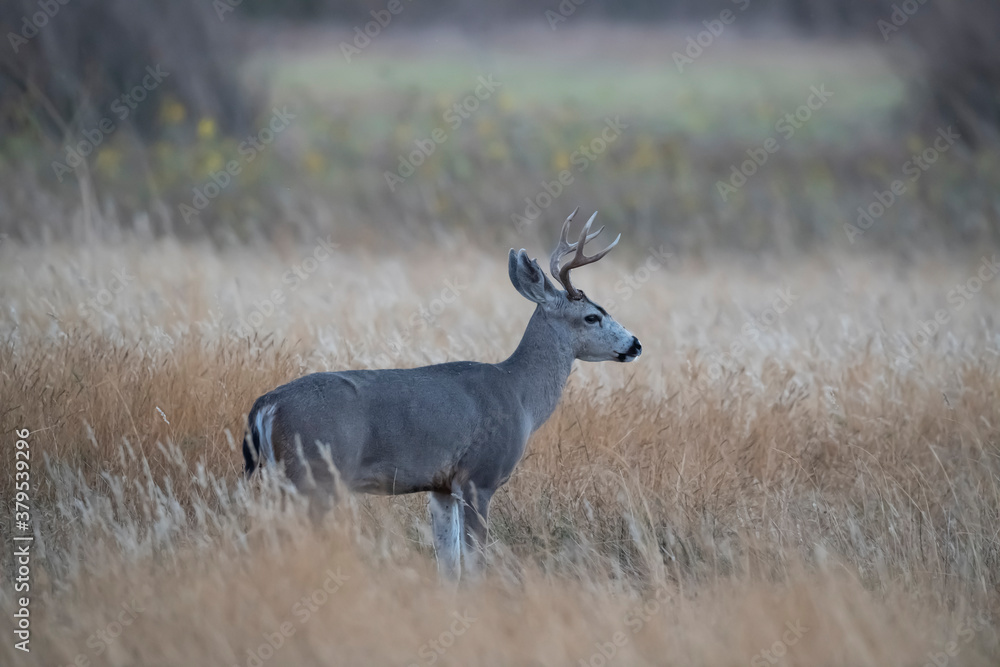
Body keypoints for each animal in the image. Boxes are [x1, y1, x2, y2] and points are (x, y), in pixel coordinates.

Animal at [243, 209, 642, 580]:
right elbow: (475, 564)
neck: (519, 393)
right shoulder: (479, 477)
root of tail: (265, 406)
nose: (635, 344)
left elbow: (449, 566)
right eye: (593, 316)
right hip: (312, 474)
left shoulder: (441, 487)